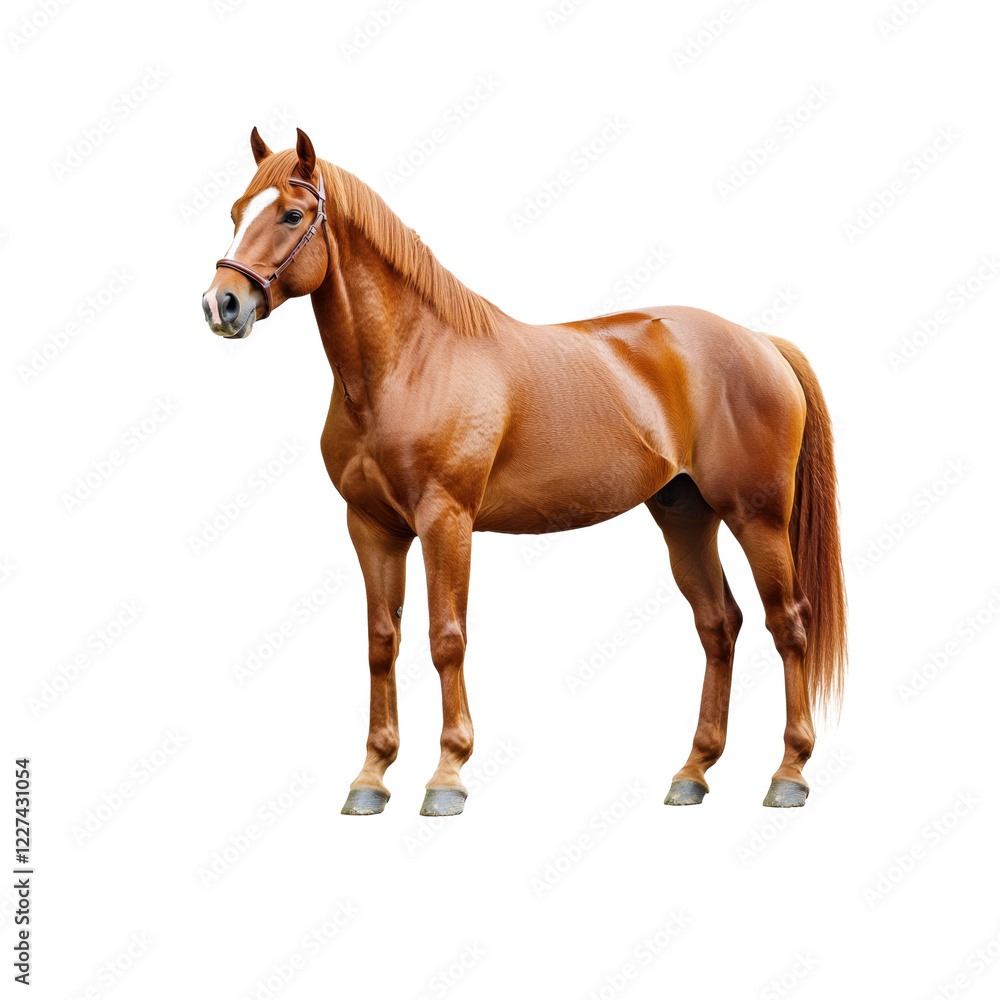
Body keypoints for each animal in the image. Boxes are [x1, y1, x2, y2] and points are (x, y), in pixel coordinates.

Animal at [202, 128, 847, 816]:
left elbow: (446, 638)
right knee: (719, 624)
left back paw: (789, 772)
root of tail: (761, 342)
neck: (411, 362)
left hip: (758, 517)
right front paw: (371, 778)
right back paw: (692, 772)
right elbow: (381, 642)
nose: (222, 304)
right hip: (685, 515)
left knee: (790, 624)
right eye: (237, 213)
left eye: (292, 215)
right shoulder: (372, 527)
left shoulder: (446, 521)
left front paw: (447, 775)